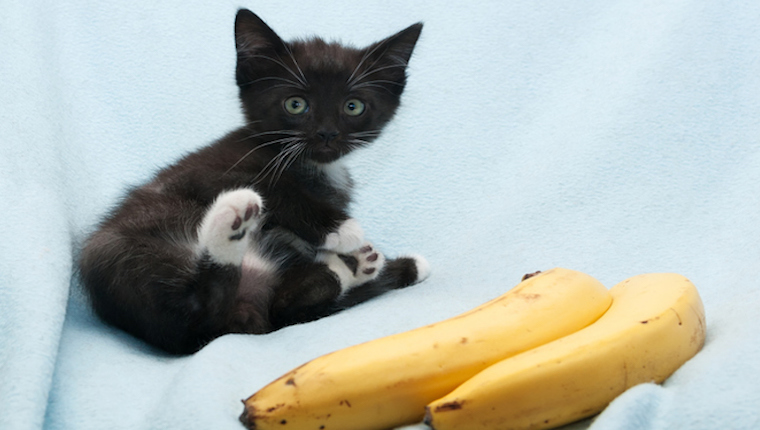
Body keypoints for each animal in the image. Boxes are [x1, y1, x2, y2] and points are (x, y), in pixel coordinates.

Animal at [81, 10, 434, 354]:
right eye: (295, 104)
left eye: (353, 106)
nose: (327, 133)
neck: (313, 167)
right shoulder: (210, 170)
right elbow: (276, 188)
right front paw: (341, 228)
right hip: (122, 254)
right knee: (196, 309)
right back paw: (232, 224)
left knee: (283, 306)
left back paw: (358, 266)